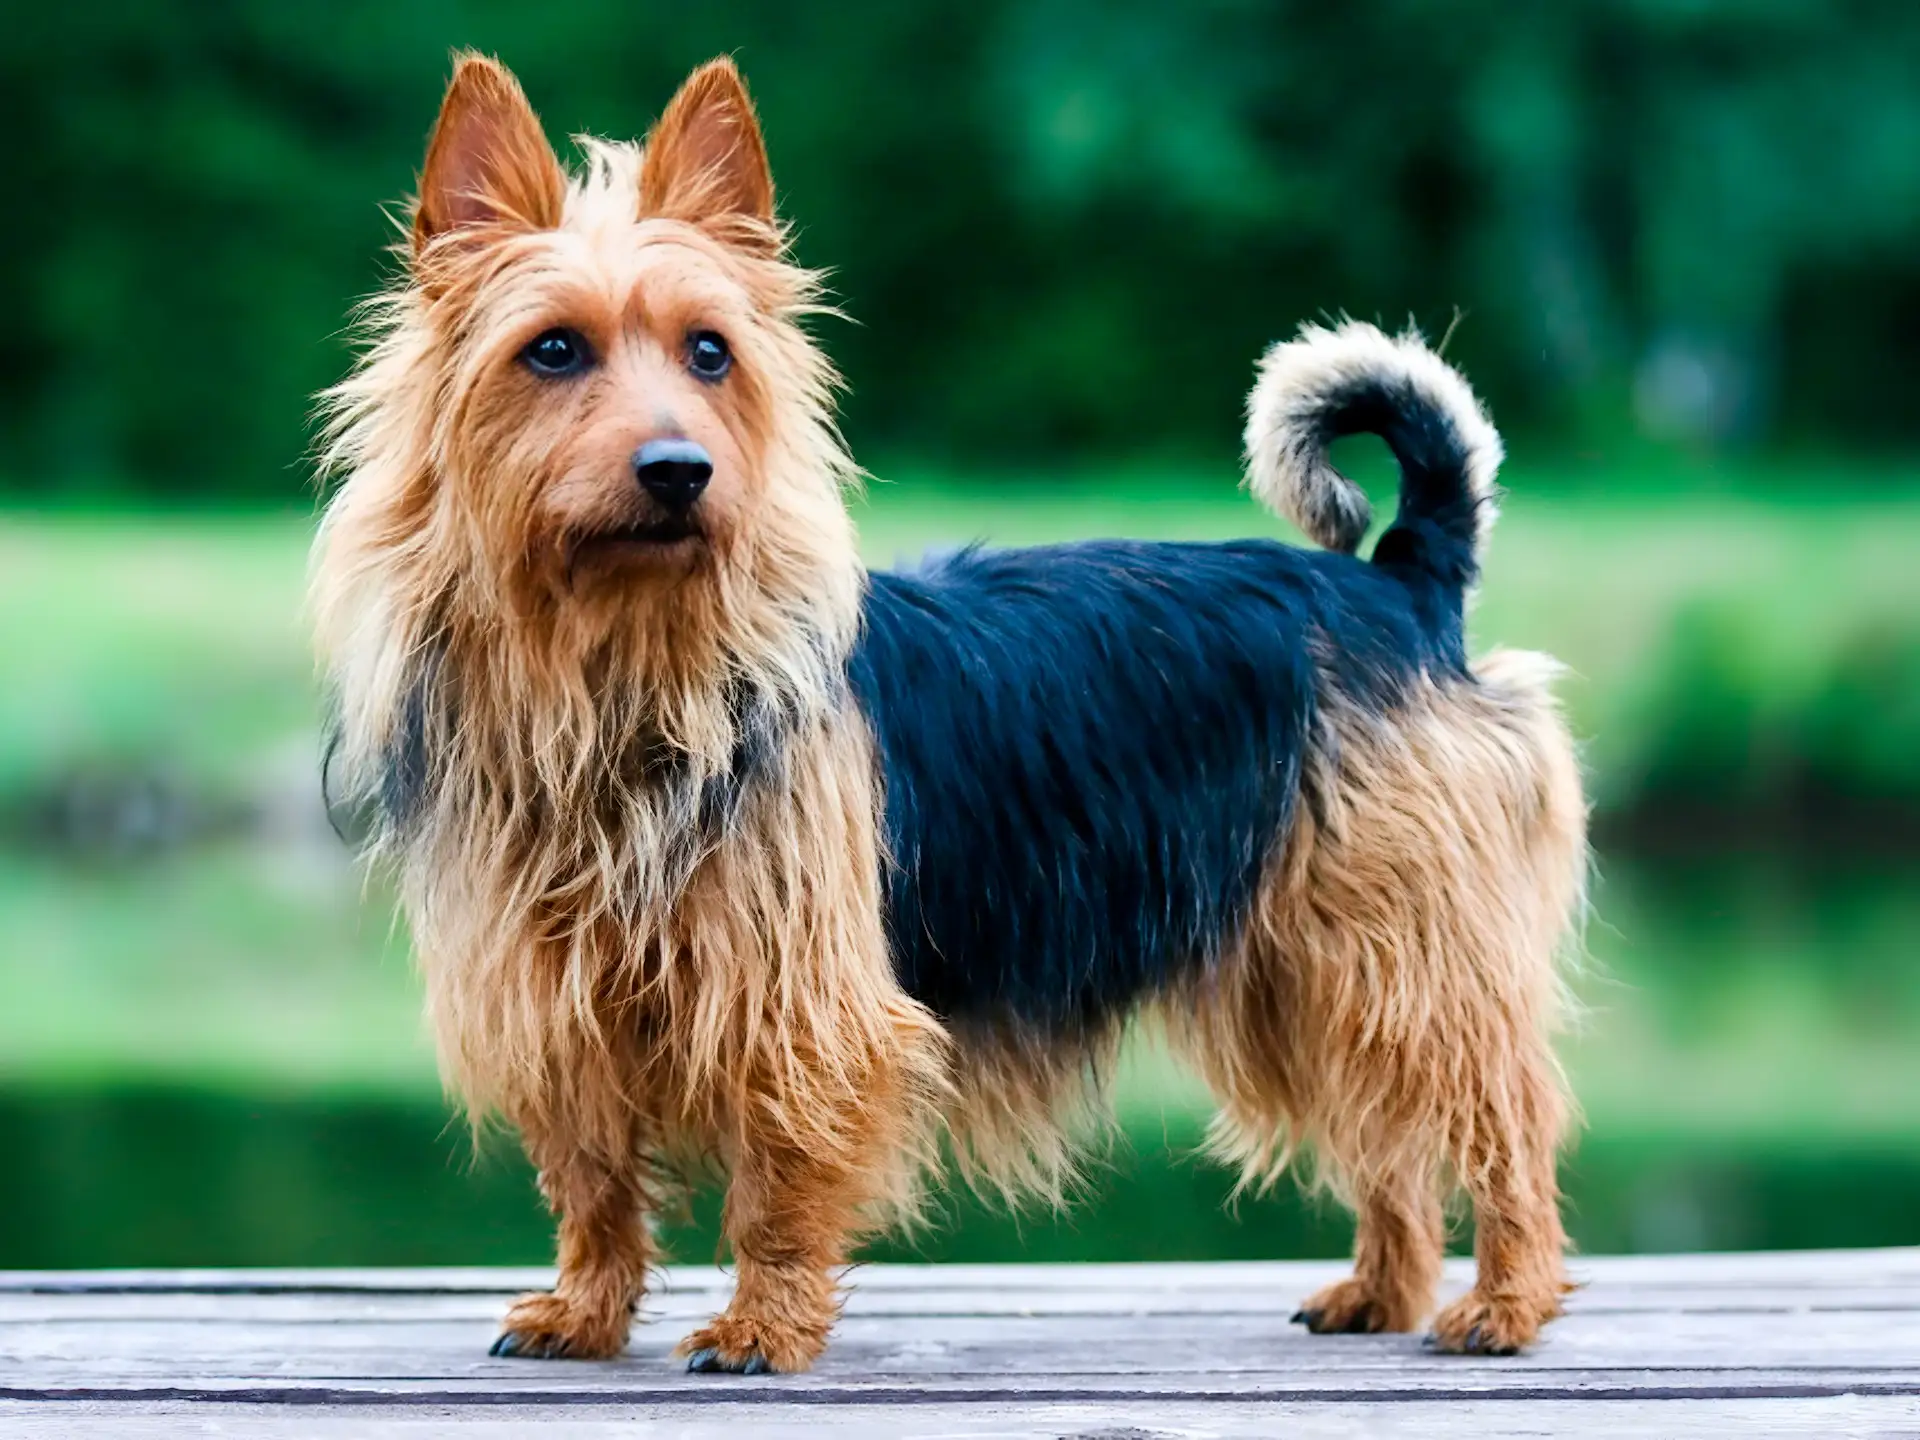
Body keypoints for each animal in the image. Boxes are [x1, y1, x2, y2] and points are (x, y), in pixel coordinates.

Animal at [311, 53, 1574, 1374]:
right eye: (551, 351)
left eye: (710, 353)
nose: (679, 469)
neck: (624, 670)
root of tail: (1398, 581)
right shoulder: (553, 1000)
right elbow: (592, 1176)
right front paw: (587, 1307)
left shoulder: (799, 1000)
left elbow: (780, 1172)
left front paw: (762, 1325)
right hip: (1302, 972)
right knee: (1385, 1130)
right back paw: (1384, 1289)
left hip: (1402, 944)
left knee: (1504, 1111)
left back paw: (1509, 1300)